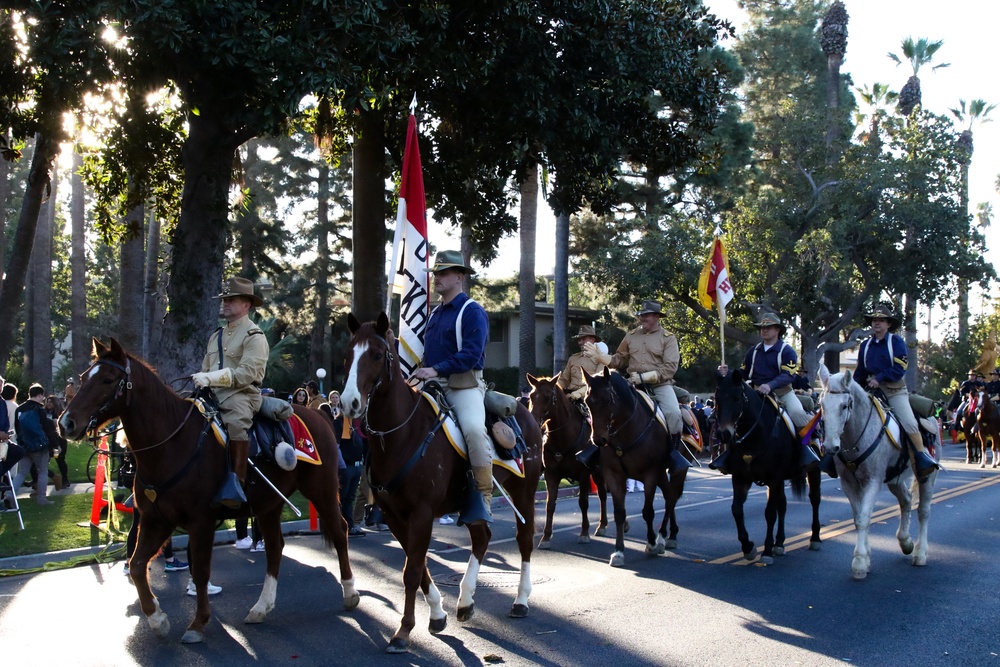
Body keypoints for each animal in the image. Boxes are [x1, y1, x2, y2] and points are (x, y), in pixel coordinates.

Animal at [56, 342, 358, 644]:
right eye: (83, 378)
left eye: (108, 380)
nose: (66, 423)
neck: (170, 443)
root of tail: (319, 414)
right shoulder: (155, 520)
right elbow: (137, 563)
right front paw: (157, 619)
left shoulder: (200, 522)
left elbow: (200, 572)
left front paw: (198, 623)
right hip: (269, 504)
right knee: (275, 547)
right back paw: (261, 607)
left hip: (322, 491)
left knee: (339, 529)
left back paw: (350, 593)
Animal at [340, 316, 544, 656]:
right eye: (347, 355)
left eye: (377, 355)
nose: (348, 403)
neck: (401, 435)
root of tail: (526, 414)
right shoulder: (395, 516)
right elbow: (418, 565)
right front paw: (437, 614)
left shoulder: (422, 514)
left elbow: (411, 571)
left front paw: (403, 631)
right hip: (472, 504)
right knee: (482, 537)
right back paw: (465, 601)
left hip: (524, 492)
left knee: (525, 540)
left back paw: (520, 600)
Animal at [524, 374, 608, 552]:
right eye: (532, 396)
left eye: (549, 397)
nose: (533, 421)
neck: (563, 436)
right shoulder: (551, 475)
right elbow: (550, 504)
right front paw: (546, 537)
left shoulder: (584, 475)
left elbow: (583, 502)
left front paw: (584, 533)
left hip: (599, 471)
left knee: (603, 495)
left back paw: (604, 525)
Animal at [584, 368, 688, 568]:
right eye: (587, 401)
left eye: (608, 400)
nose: (598, 439)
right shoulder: (614, 475)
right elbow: (619, 513)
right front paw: (618, 551)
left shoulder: (650, 474)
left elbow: (648, 511)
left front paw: (651, 544)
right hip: (661, 475)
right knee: (669, 496)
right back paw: (670, 534)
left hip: (673, 471)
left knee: (671, 498)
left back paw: (664, 537)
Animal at [820, 368, 936, 580]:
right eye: (822, 405)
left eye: (844, 406)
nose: (831, 446)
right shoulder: (849, 483)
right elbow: (858, 517)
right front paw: (866, 558)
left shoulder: (872, 481)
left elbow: (864, 518)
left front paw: (859, 562)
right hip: (895, 480)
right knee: (906, 501)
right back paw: (905, 542)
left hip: (927, 476)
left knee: (923, 511)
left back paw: (920, 553)